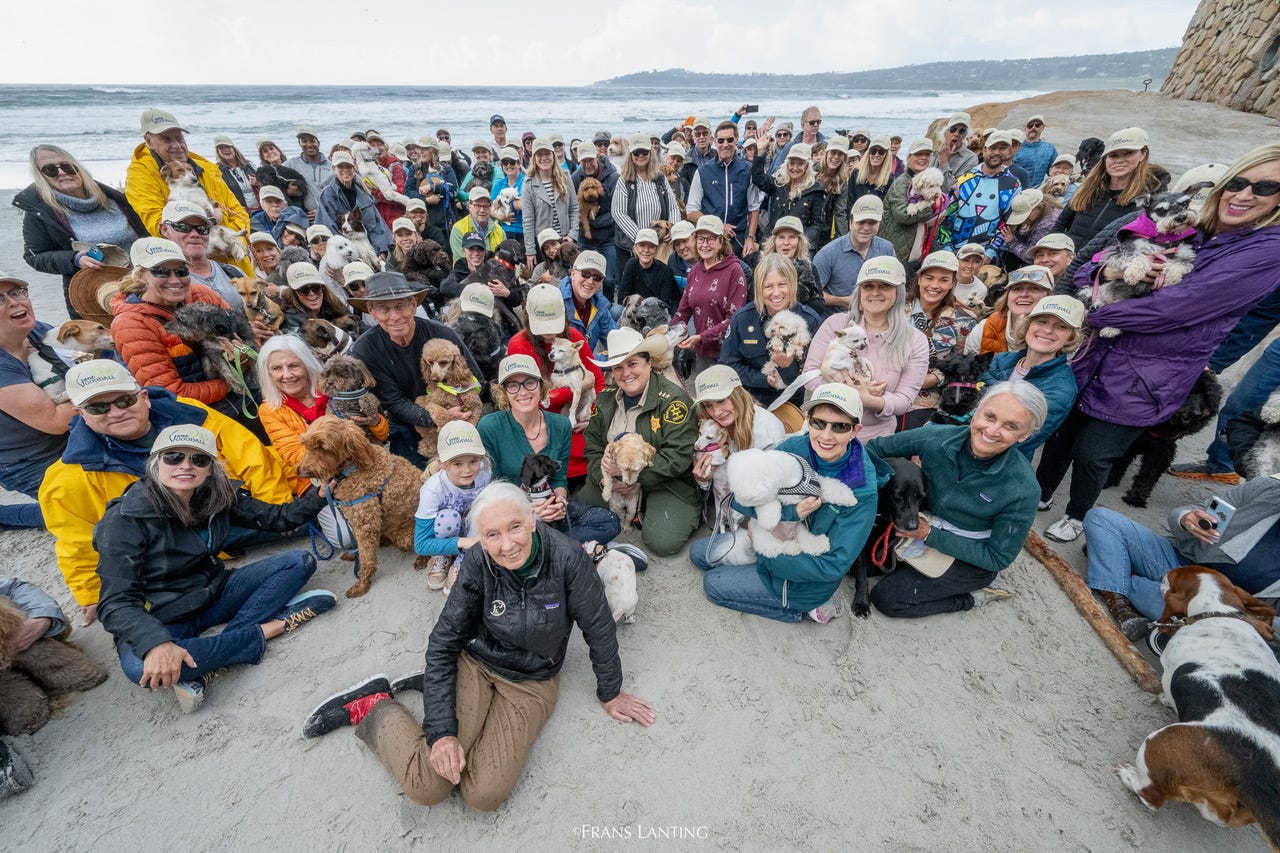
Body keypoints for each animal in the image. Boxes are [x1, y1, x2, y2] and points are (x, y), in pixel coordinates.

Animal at [297, 416, 429, 596]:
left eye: (322, 447)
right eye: (306, 445)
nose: (302, 472)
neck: (352, 469)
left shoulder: (365, 524)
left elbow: (367, 558)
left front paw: (362, 584)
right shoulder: (355, 520)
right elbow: (359, 546)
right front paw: (354, 556)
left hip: (405, 536)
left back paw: (422, 558)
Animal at [721, 448, 858, 561]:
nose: (737, 499)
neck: (787, 481)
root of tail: (787, 536)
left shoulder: (817, 485)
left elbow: (831, 486)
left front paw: (849, 497)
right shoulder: (773, 495)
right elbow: (768, 505)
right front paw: (768, 521)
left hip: (800, 528)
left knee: (806, 540)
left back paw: (819, 544)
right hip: (763, 538)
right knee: (775, 548)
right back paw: (792, 547)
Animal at [852, 458, 928, 618]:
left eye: (921, 497)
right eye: (898, 497)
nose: (913, 527)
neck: (882, 516)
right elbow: (861, 576)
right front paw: (861, 603)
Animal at [1104, 370, 1222, 507]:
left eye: (1205, 396)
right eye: (1188, 392)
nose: (1196, 413)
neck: (1160, 427)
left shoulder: (1161, 451)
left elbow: (1148, 475)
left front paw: (1136, 497)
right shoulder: (1127, 441)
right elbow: (1118, 462)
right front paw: (1108, 481)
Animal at [1116, 566, 1280, 848]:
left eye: (1172, 577)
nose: (1162, 574)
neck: (1217, 610)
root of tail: (1255, 775)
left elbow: (1167, 688)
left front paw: (1164, 699)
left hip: (1157, 742)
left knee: (1152, 798)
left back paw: (1129, 777)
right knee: (1219, 815)